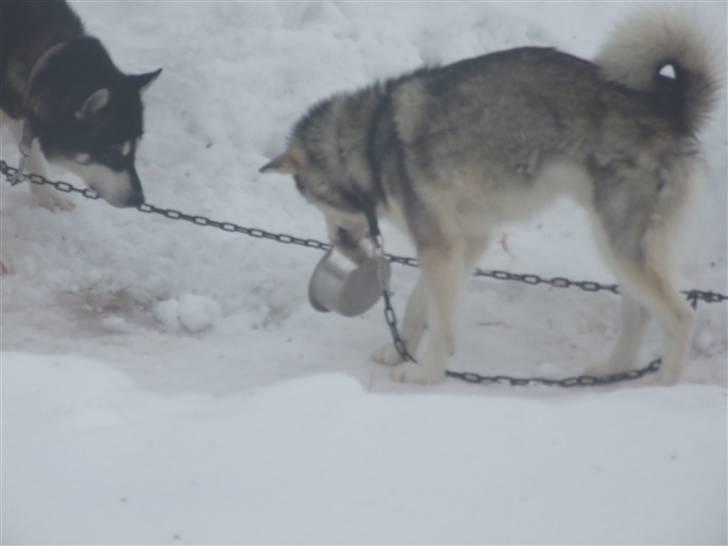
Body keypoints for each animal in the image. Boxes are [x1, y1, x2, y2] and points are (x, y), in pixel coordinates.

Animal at [261, 10, 721, 385]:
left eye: (313, 203)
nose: (336, 242)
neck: (371, 144)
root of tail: (670, 106)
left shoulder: (439, 247)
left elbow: (440, 321)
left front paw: (426, 372)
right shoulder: (464, 241)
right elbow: (419, 303)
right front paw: (400, 351)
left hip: (621, 245)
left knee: (680, 317)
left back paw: (660, 389)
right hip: (615, 245)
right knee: (641, 312)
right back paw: (612, 370)